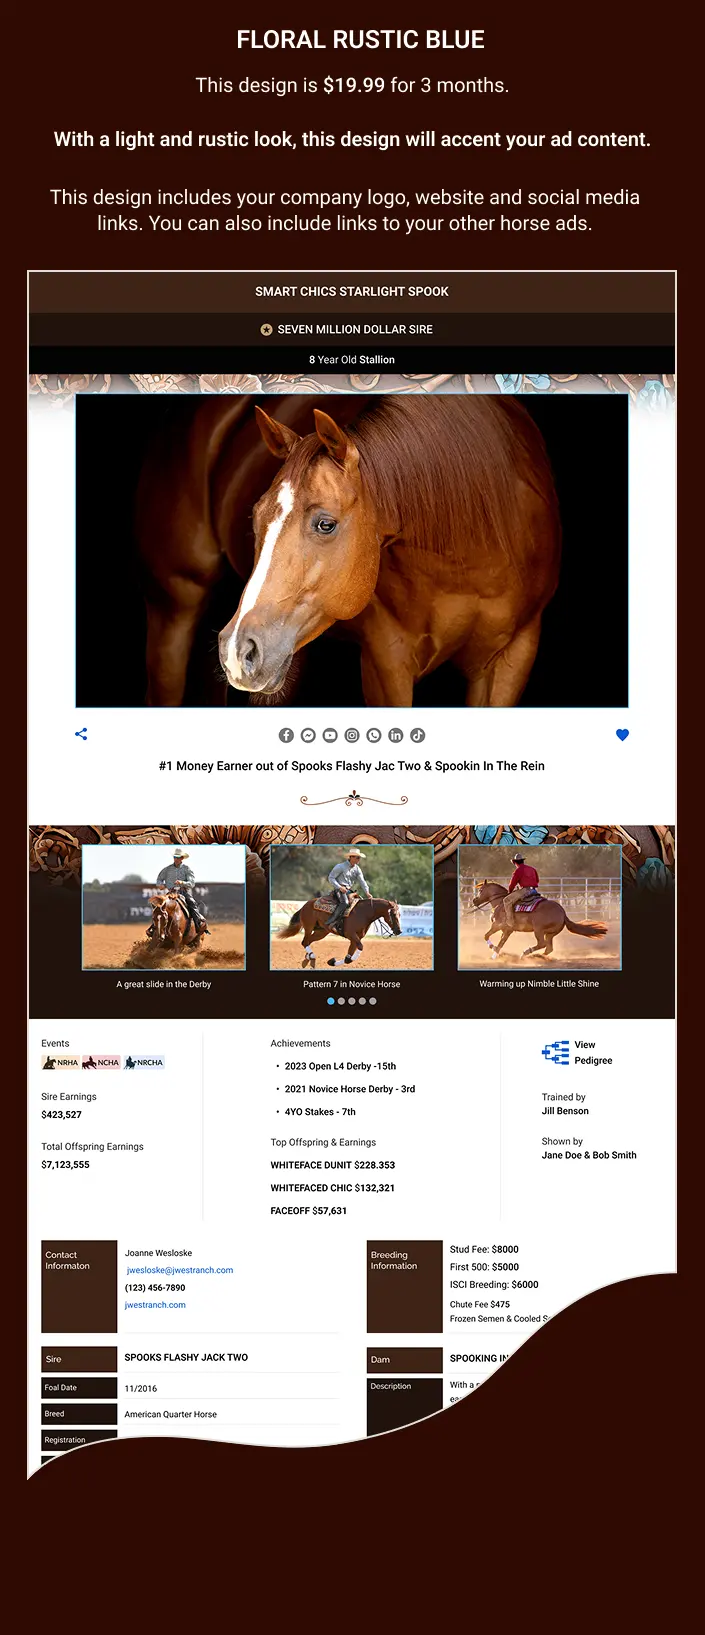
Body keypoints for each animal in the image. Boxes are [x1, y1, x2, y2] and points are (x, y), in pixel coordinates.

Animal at [135, 395, 560, 707]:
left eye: (326, 523)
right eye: (255, 517)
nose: (238, 650)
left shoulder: (513, 658)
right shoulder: (386, 662)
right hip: (174, 609)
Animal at [472, 880, 607, 960]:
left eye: (480, 890)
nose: (474, 900)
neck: (500, 903)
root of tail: (563, 913)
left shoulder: (497, 925)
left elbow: (486, 936)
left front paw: (493, 950)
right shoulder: (507, 930)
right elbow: (502, 941)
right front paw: (496, 953)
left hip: (539, 930)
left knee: (542, 944)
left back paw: (526, 953)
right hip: (550, 933)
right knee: (548, 948)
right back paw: (538, 956)